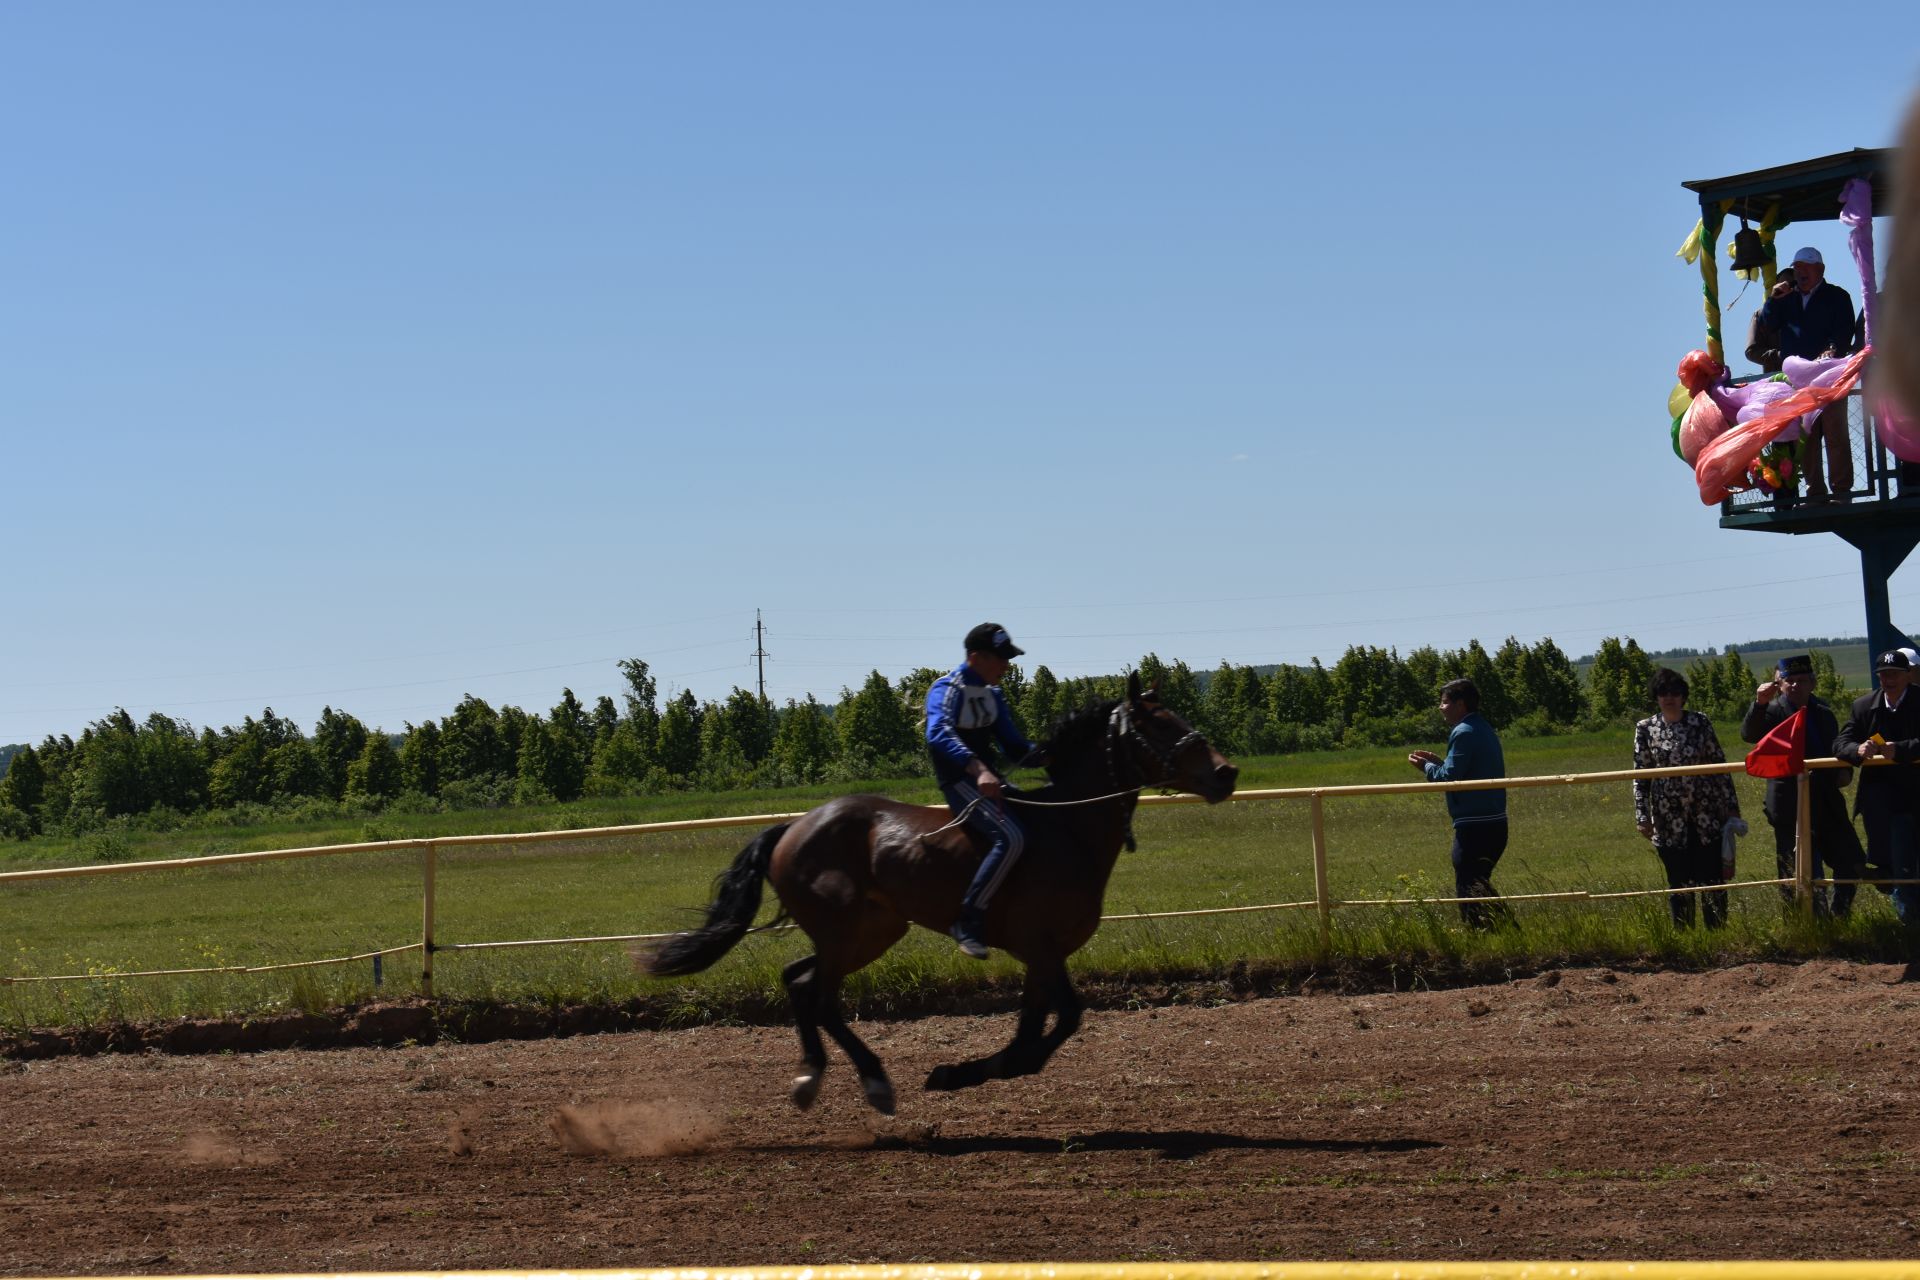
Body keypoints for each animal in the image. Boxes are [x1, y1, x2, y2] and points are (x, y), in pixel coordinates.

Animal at [637, 675, 1236, 1113]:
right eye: (1157, 725)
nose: (1226, 773)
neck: (1066, 829)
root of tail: (794, 828)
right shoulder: (1040, 948)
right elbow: (1060, 1022)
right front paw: (955, 1073)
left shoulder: (1044, 956)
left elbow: (1035, 1031)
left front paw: (972, 1070)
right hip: (843, 932)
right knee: (821, 996)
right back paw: (874, 1082)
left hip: (872, 931)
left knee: (799, 981)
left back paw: (812, 1076)